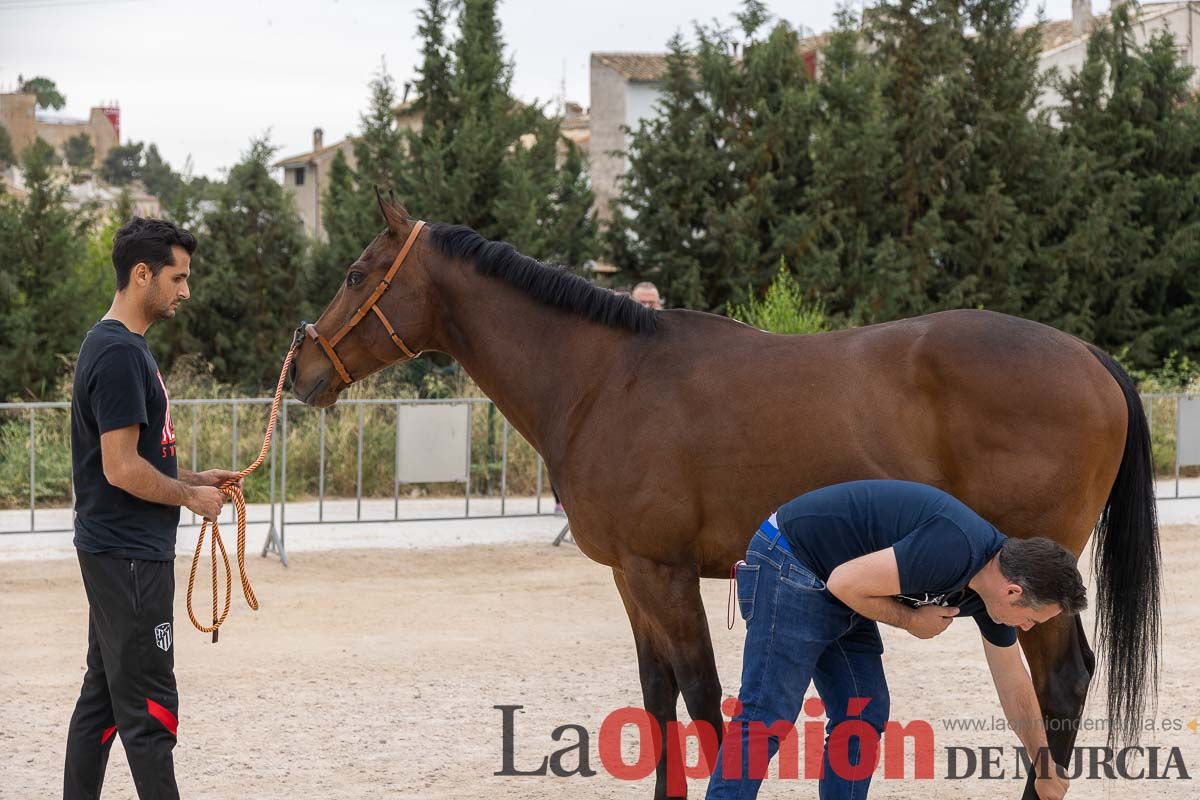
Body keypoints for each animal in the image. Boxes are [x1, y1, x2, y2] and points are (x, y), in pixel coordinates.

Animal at [285, 201, 1156, 800]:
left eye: (357, 275)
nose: (301, 371)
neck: (606, 380)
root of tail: (1089, 357)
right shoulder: (630, 576)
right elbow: (658, 697)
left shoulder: (664, 574)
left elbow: (704, 698)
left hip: (1026, 578)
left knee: (1063, 681)